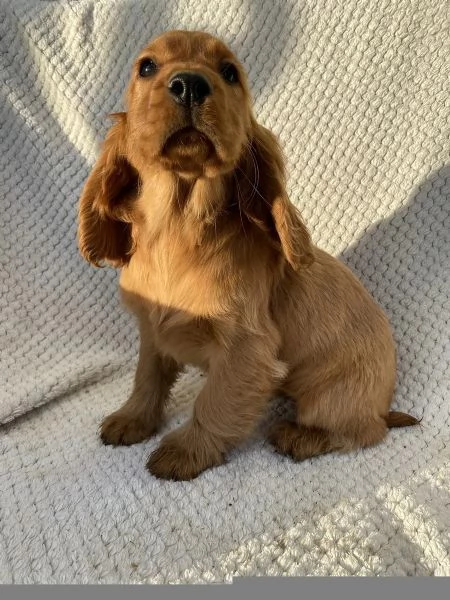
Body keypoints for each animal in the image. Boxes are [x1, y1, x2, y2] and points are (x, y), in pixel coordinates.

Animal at [78, 29, 418, 482]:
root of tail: (386, 402)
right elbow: (146, 378)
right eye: (146, 66)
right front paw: (132, 419)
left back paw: (301, 436)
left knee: (363, 430)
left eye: (229, 72)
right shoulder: (152, 331)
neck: (178, 227)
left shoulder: (246, 349)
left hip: (336, 394)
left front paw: (185, 451)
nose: (189, 83)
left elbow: (213, 403)